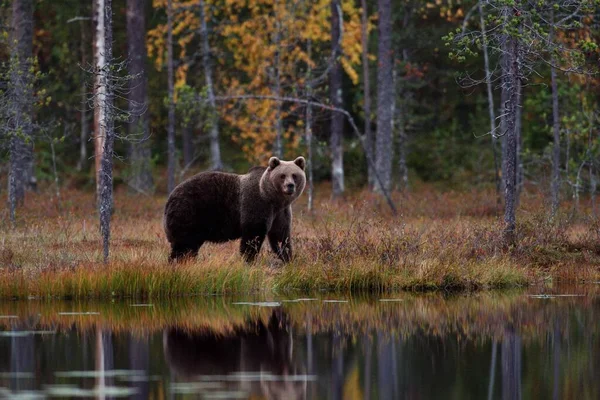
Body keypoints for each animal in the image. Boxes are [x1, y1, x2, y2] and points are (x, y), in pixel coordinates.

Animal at [163, 156, 304, 262]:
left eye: (294, 175)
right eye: (282, 175)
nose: (290, 186)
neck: (272, 198)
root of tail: (171, 196)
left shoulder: (280, 212)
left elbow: (280, 235)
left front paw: (287, 257)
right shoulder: (257, 204)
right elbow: (253, 235)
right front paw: (248, 259)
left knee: (189, 246)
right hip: (189, 212)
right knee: (184, 245)